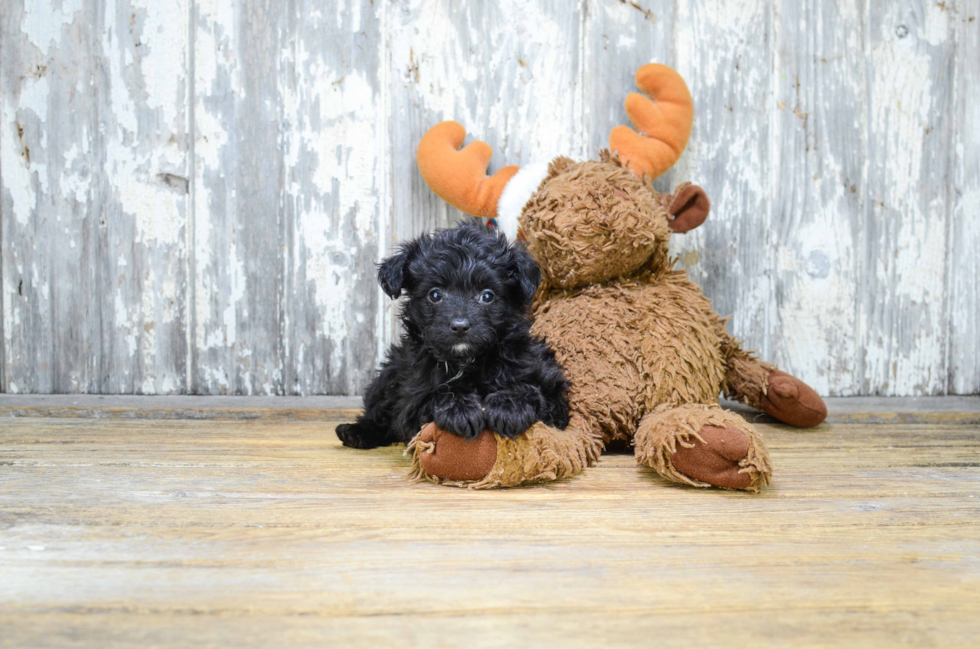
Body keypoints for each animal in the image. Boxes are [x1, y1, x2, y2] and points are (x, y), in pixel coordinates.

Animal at [334, 220, 568, 448]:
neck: (467, 360)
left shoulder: (552, 390)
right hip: (388, 375)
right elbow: (435, 396)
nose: (460, 326)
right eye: (435, 295)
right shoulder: (412, 400)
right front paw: (460, 410)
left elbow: (534, 392)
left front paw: (508, 407)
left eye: (487, 296)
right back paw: (355, 433)